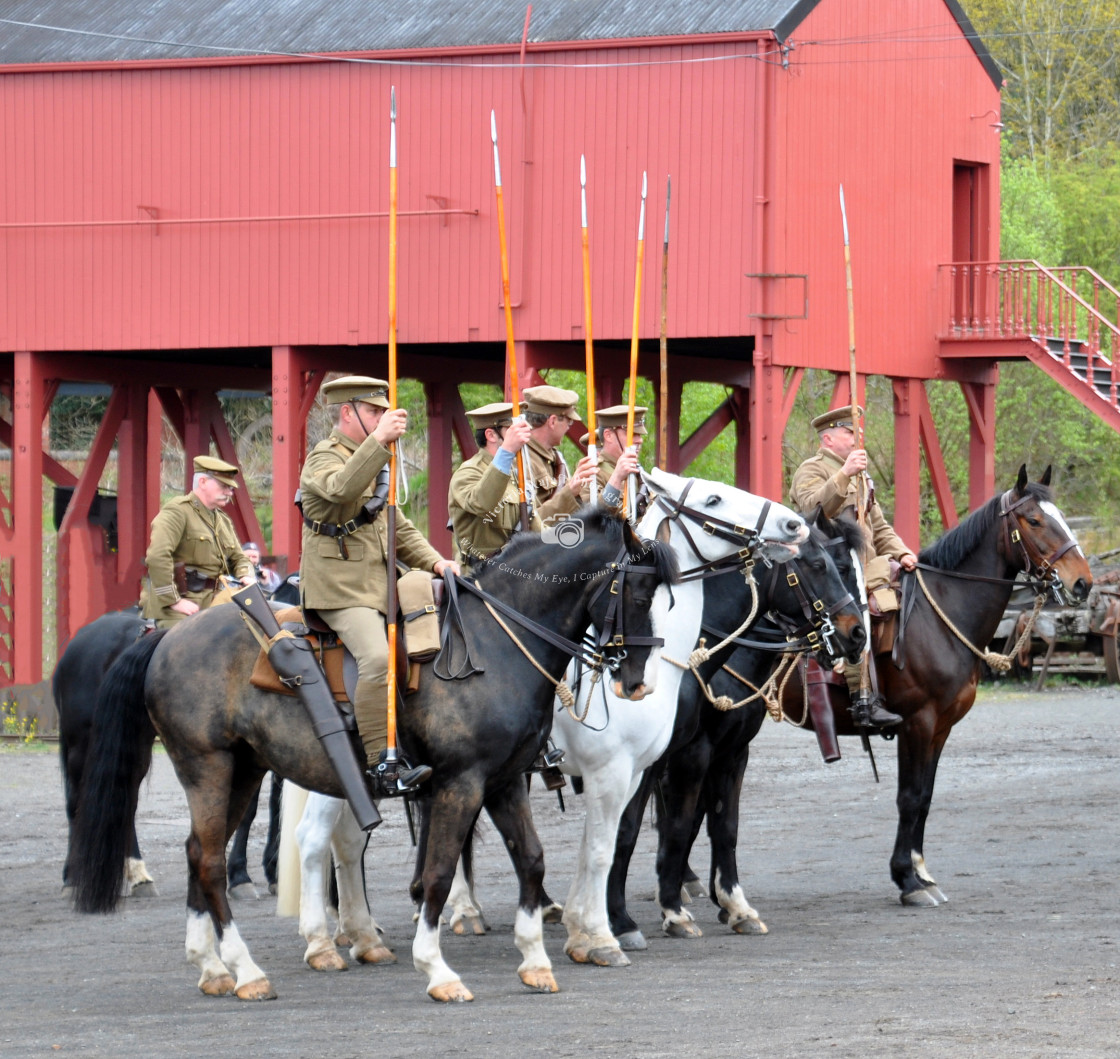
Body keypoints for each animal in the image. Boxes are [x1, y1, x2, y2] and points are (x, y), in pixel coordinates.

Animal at [72, 503, 680, 998]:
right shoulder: (461, 785)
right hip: (208, 768)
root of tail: (169, 637)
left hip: (242, 771)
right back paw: (247, 971)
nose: (635, 682)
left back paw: (213, 967)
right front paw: (437, 969)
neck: (497, 640)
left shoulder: (505, 781)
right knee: (212, 861)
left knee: (202, 852)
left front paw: (534, 961)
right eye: (638, 592)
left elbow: (530, 860)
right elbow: (438, 874)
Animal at [278, 470, 806, 976]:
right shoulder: (626, 768)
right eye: (714, 498)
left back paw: (366, 934)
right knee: (315, 841)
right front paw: (615, 929)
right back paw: (330, 939)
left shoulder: (651, 767)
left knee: (348, 843)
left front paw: (585, 927)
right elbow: (617, 843)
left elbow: (623, 840)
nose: (793, 525)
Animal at [779, 465, 1093, 904]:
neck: (942, 613)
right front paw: (907, 880)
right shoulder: (917, 723)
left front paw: (921, 873)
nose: (1083, 582)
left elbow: (924, 798)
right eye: (1033, 520)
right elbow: (909, 798)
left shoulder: (941, 727)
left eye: (1061, 516)